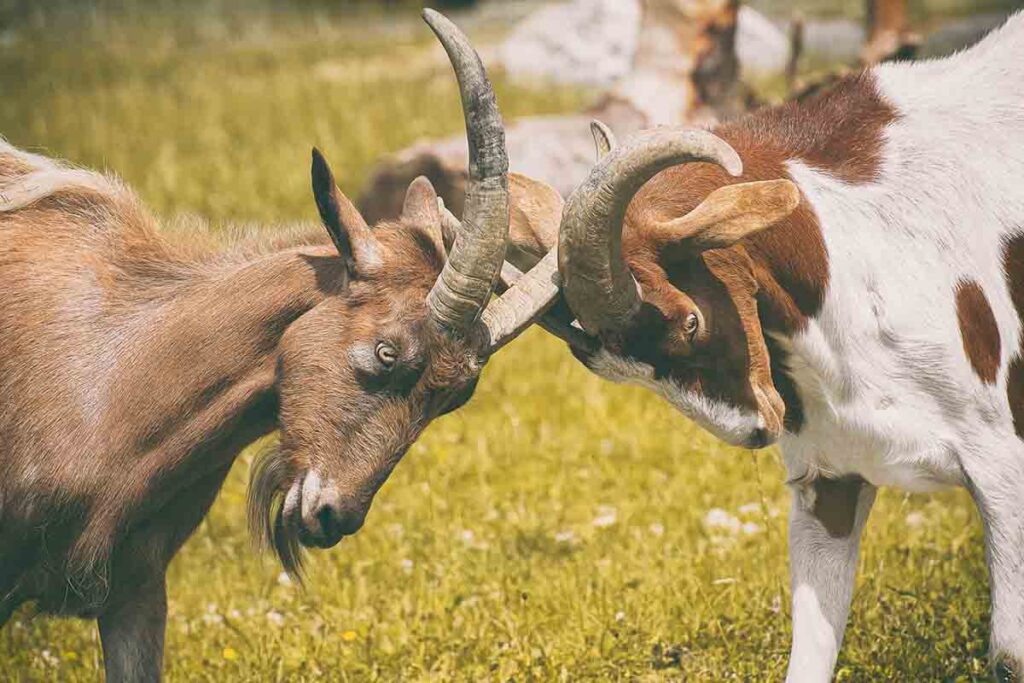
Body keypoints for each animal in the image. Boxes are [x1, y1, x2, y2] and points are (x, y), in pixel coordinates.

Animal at [512, 10, 1024, 683]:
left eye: (690, 322)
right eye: (613, 367)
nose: (755, 430)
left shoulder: (1002, 464)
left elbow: (1009, 654)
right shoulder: (828, 478)